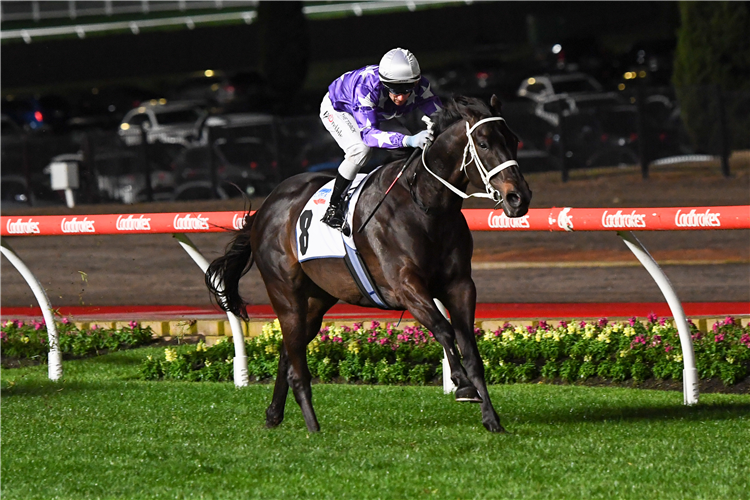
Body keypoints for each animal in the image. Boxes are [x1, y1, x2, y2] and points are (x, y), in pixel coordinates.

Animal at [209, 95, 532, 432]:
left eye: (513, 140)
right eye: (483, 143)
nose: (518, 198)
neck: (426, 206)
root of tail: (265, 209)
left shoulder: (460, 285)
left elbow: (471, 350)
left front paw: (491, 418)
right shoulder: (405, 285)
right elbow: (444, 330)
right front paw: (462, 385)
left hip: (315, 300)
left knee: (289, 349)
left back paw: (274, 414)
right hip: (285, 294)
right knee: (296, 362)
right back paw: (313, 428)